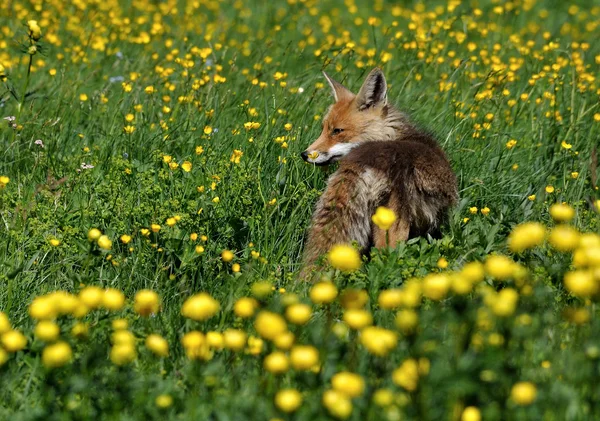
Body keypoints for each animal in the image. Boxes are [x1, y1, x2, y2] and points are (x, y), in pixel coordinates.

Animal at [300, 68, 460, 278]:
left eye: (336, 131)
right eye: (324, 129)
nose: (304, 154)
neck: (393, 135)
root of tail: (367, 159)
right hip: (394, 229)